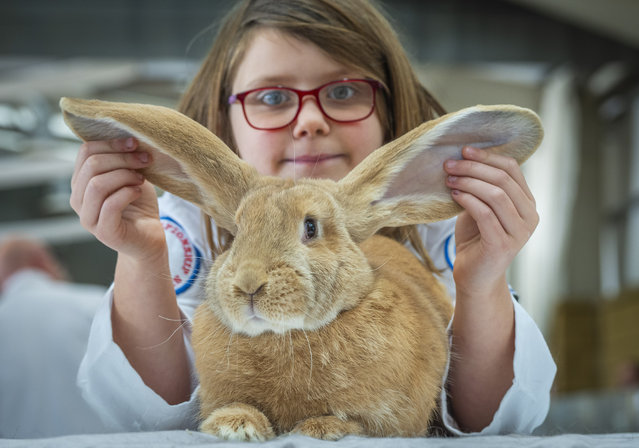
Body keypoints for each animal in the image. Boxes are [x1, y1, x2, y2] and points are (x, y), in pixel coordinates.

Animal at [60, 96, 544, 440]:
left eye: (310, 227)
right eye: (236, 232)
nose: (249, 284)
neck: (288, 336)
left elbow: (362, 423)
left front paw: (323, 428)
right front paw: (236, 425)